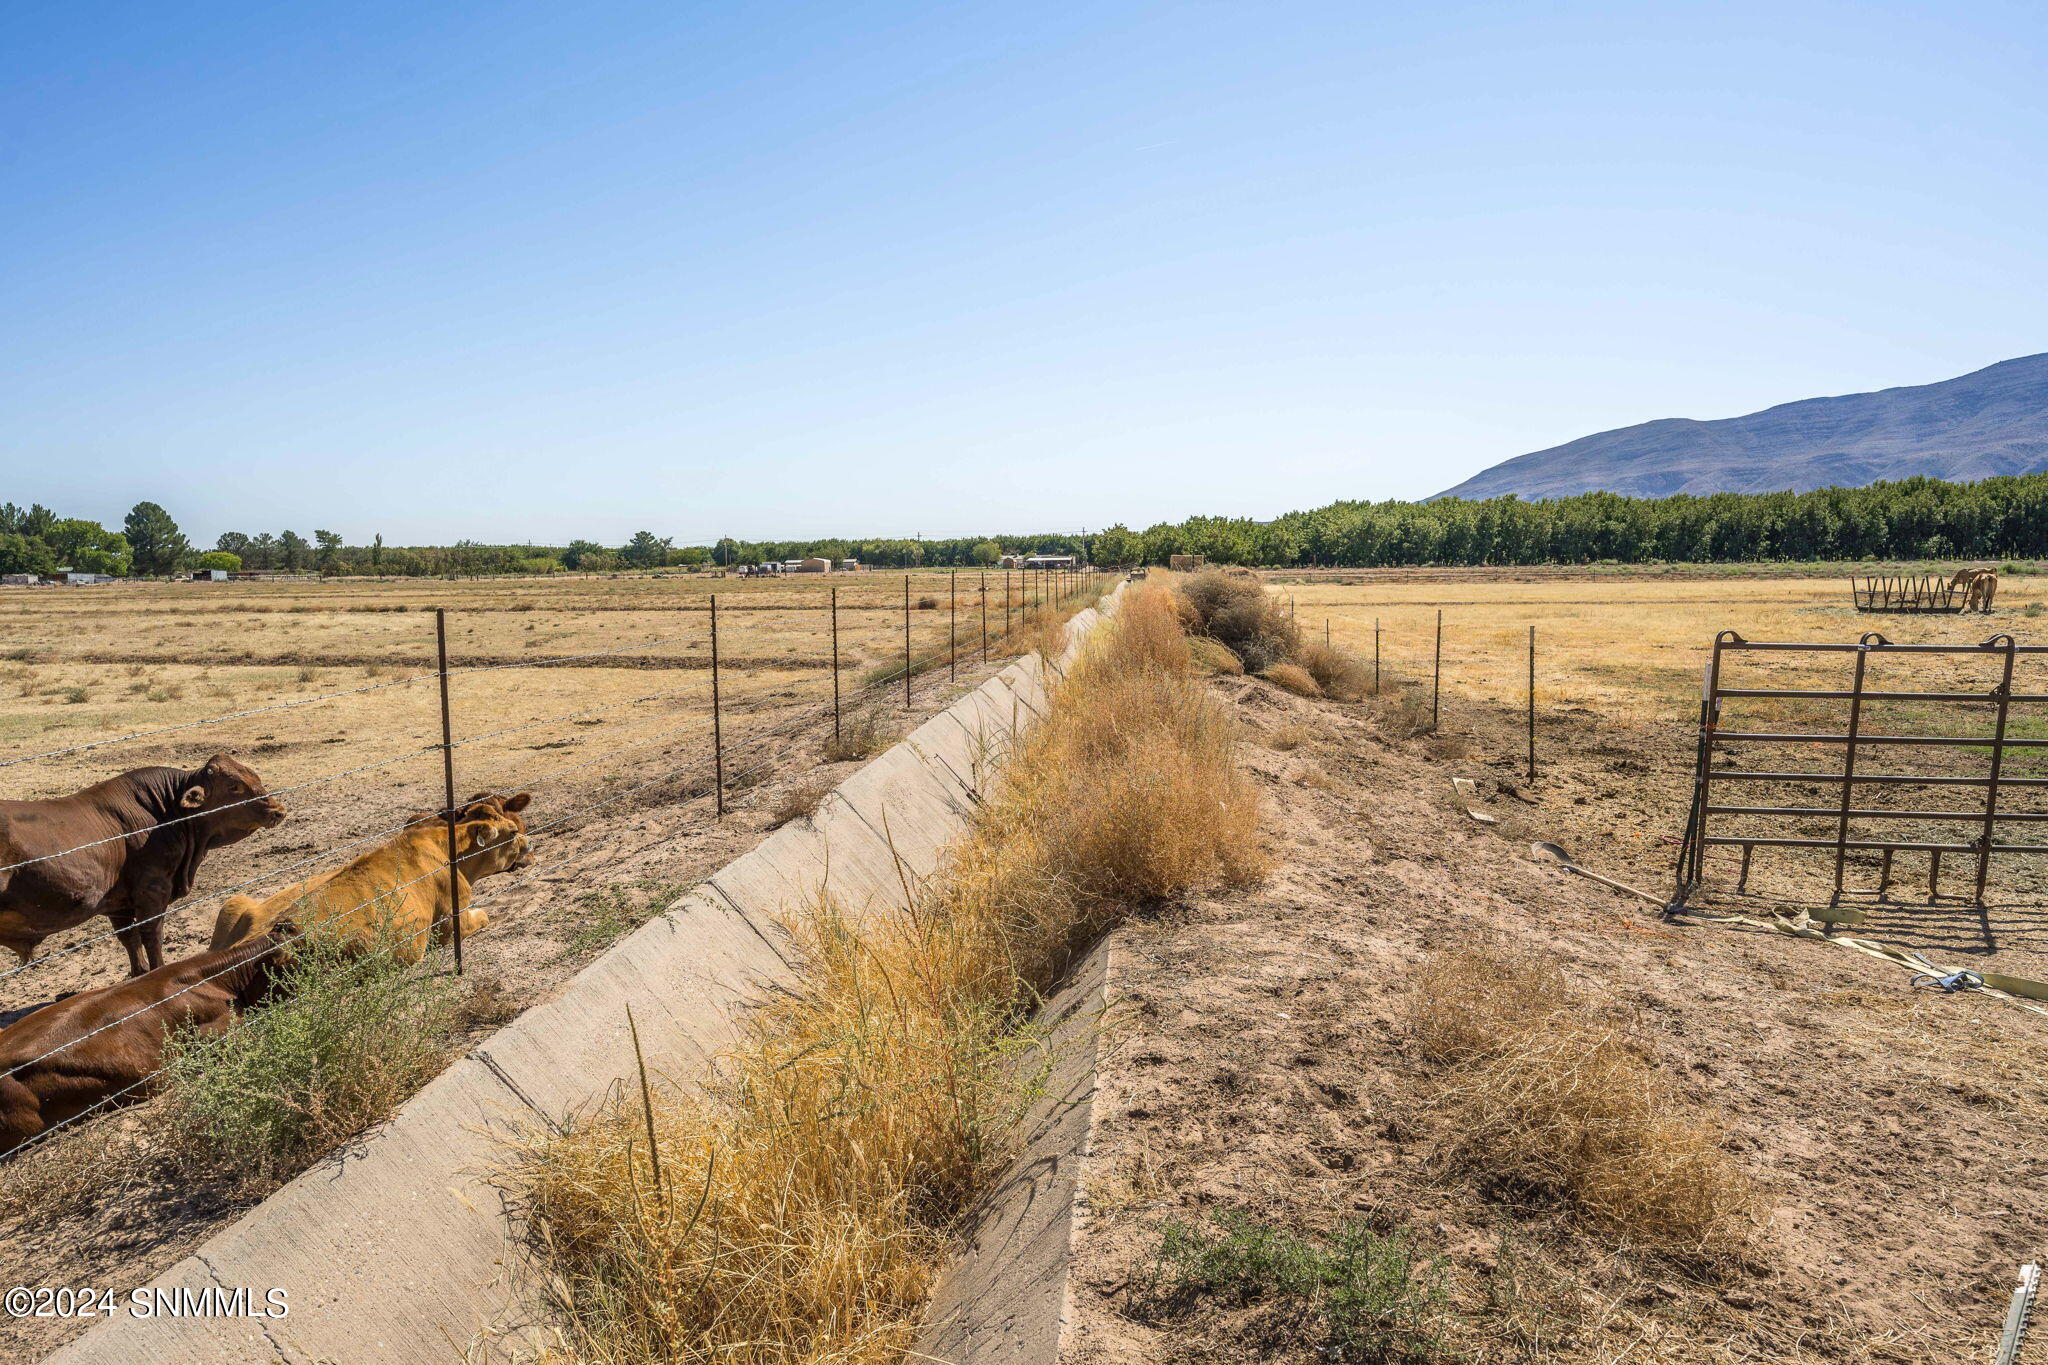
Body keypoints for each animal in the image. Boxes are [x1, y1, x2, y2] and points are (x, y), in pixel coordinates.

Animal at [0, 757, 288, 970]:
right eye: (234, 787)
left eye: (254, 777)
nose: (279, 810)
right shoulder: (152, 891)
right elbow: (152, 936)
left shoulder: (117, 903)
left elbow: (130, 939)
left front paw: (139, 973)